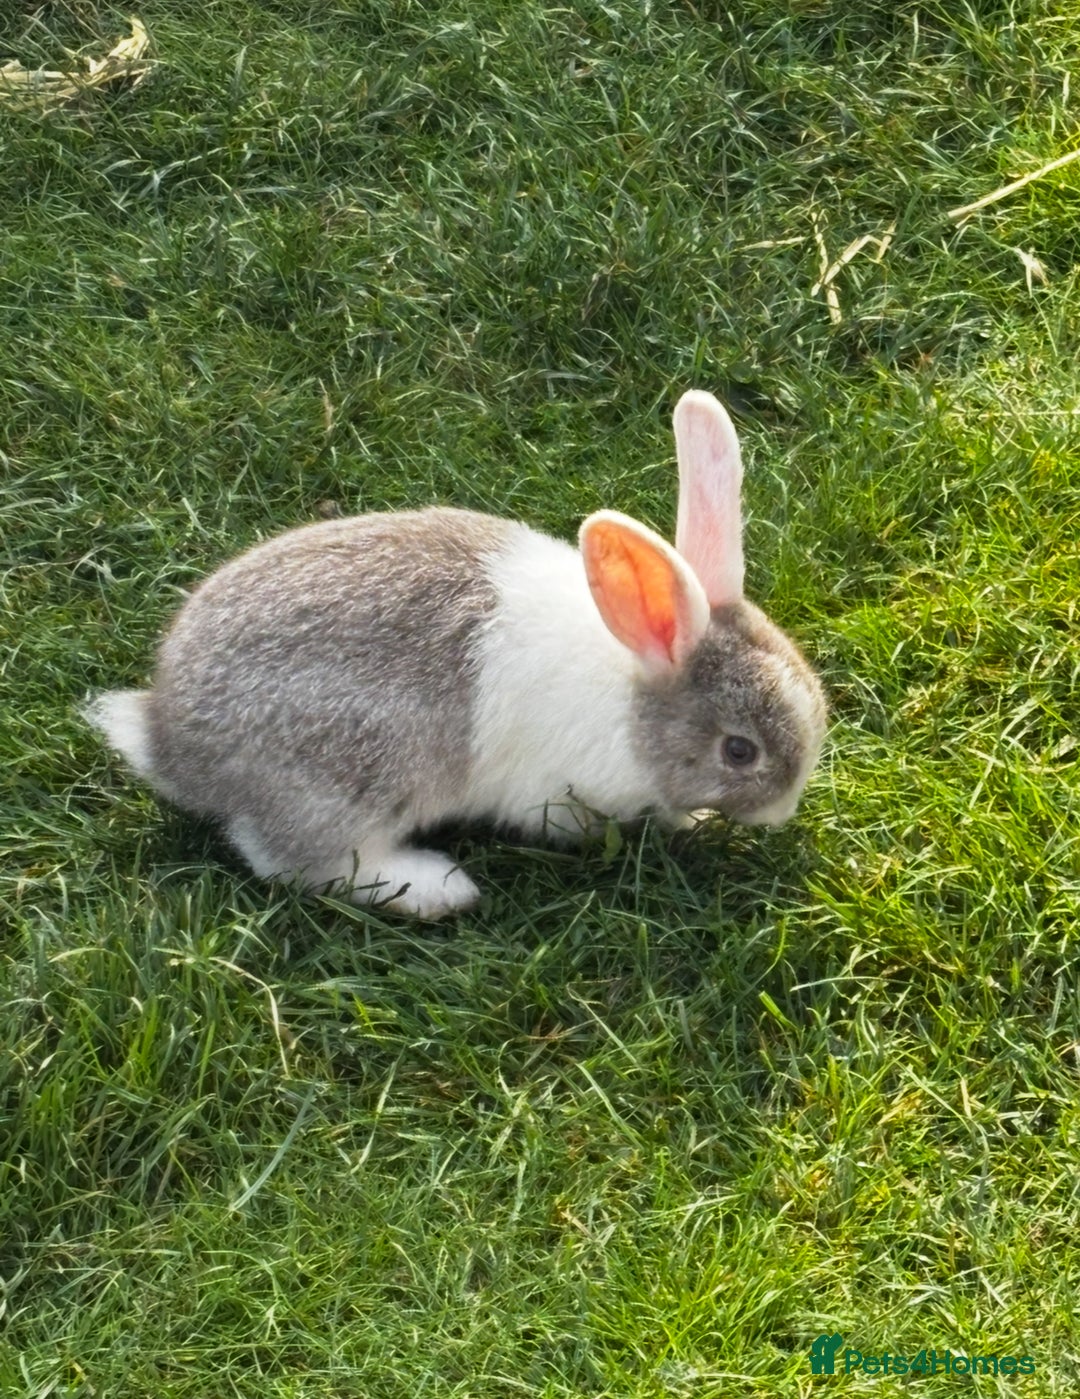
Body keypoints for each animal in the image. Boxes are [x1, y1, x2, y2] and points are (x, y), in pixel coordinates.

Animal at [86, 391, 827, 920]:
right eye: (740, 750)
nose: (783, 811)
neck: (635, 691)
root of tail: (167, 741)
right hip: (351, 777)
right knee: (295, 860)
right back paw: (437, 887)